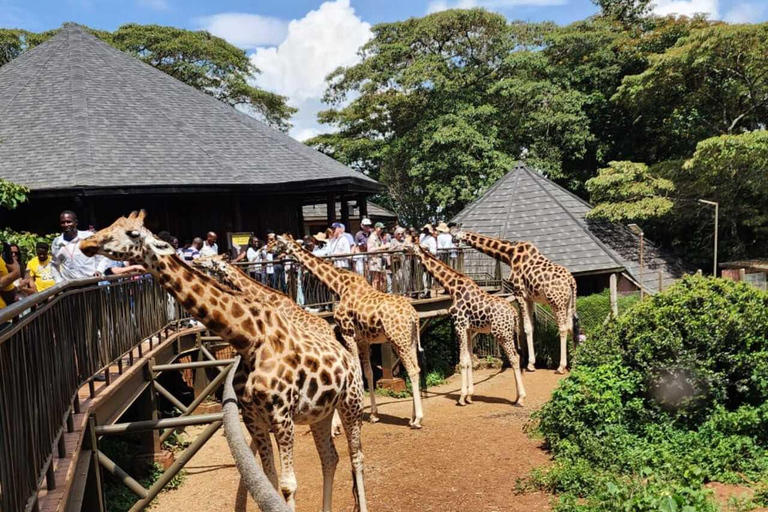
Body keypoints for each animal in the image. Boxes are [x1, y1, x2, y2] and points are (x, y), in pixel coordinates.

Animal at [80, 212, 368, 512]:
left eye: (133, 233)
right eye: (111, 225)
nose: (87, 244)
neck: (250, 340)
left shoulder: (281, 417)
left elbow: (288, 486)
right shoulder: (253, 418)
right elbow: (269, 480)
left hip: (350, 403)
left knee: (356, 456)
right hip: (319, 412)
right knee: (330, 458)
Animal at [274, 234, 425, 429]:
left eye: (279, 242)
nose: (273, 252)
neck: (339, 285)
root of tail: (414, 316)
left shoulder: (347, 332)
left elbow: (357, 371)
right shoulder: (363, 340)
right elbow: (368, 372)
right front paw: (373, 414)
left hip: (399, 340)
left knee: (412, 371)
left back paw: (418, 419)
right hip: (410, 340)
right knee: (417, 368)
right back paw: (412, 417)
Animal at [407, 241, 526, 406]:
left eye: (408, 243)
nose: (404, 251)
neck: (453, 287)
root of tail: (514, 313)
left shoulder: (460, 325)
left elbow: (462, 361)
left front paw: (462, 397)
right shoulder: (469, 329)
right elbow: (469, 359)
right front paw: (470, 395)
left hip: (502, 334)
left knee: (514, 358)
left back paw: (520, 398)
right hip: (507, 333)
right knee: (517, 357)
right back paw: (516, 396)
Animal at [451, 228, 578, 374]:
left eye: (454, 236)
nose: (453, 244)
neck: (509, 255)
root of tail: (571, 281)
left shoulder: (519, 293)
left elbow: (526, 328)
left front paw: (530, 364)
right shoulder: (529, 297)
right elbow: (531, 327)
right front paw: (531, 363)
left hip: (557, 303)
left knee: (562, 328)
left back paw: (561, 366)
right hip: (568, 303)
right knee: (571, 326)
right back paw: (575, 362)